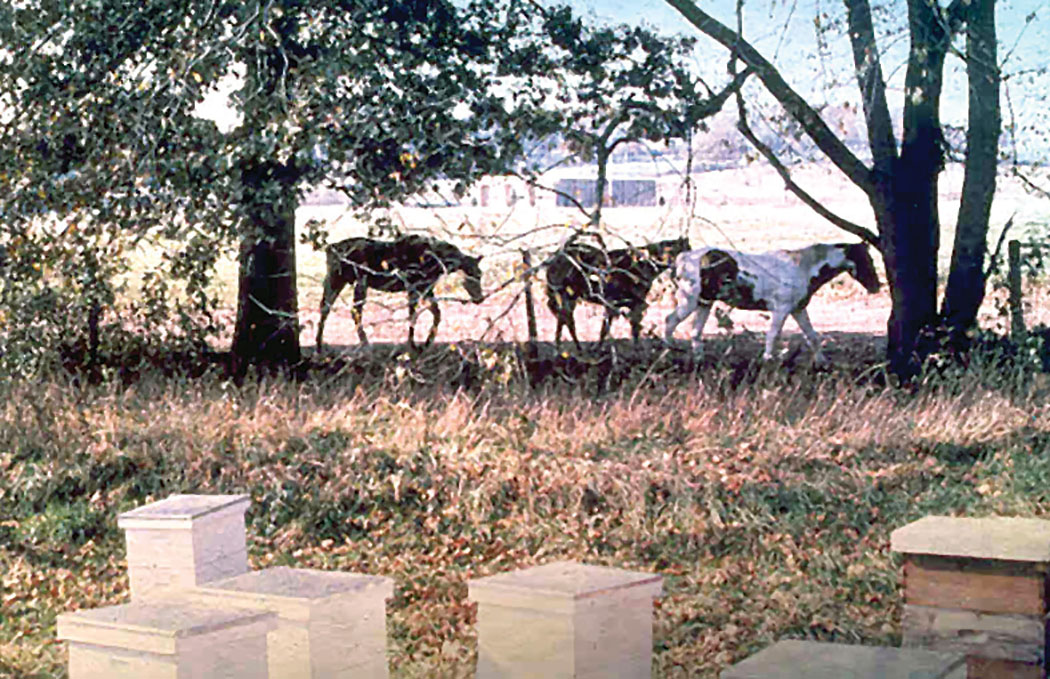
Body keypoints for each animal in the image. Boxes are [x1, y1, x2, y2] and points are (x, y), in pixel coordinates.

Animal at [317, 235, 485, 350]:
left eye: (480, 273)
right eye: (473, 274)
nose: (480, 298)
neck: (439, 263)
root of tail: (329, 249)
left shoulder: (426, 288)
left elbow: (436, 313)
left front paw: (427, 342)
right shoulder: (413, 286)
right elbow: (413, 315)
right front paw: (412, 344)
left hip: (337, 280)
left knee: (326, 307)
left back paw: (319, 345)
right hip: (356, 281)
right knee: (353, 310)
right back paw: (364, 343)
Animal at [546, 235, 692, 350]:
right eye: (686, 251)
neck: (641, 266)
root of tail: (556, 256)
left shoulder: (633, 304)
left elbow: (631, 328)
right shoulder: (615, 303)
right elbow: (609, 329)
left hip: (569, 298)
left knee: (564, 319)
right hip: (564, 296)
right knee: (566, 319)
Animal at [667, 241, 881, 363]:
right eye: (865, 258)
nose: (876, 286)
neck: (801, 267)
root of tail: (684, 257)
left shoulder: (798, 309)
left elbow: (812, 336)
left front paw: (822, 363)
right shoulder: (781, 310)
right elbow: (773, 336)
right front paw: (768, 360)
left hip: (704, 303)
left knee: (695, 332)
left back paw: (699, 359)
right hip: (689, 302)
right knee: (670, 321)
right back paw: (670, 350)